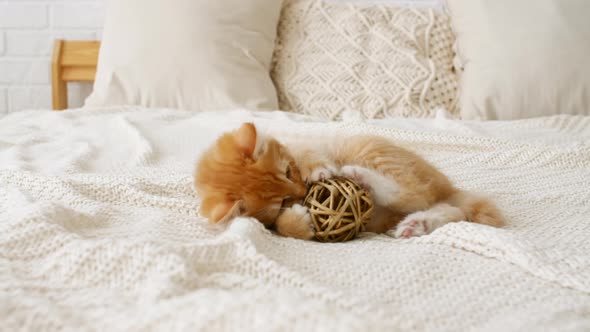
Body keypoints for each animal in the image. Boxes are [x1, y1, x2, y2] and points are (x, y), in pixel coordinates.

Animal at [194, 122, 504, 239]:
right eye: (281, 200)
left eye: (289, 172)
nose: (304, 191)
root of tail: (447, 186)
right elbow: (282, 226)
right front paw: (298, 222)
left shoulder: (306, 144)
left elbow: (312, 155)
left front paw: (319, 171)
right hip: (388, 217)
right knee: (444, 208)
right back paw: (417, 224)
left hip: (366, 148)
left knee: (418, 194)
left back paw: (359, 175)